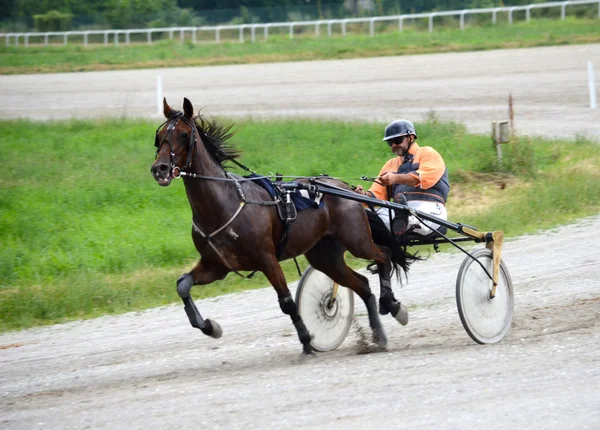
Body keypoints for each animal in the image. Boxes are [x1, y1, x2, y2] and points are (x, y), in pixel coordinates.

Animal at [150, 98, 414, 356]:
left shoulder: (266, 258)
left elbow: (287, 301)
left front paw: (307, 340)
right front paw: (210, 327)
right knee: (362, 285)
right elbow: (183, 284)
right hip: (325, 256)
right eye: (160, 134)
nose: (159, 169)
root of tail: (344, 187)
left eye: (184, 134)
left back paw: (391, 305)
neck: (224, 203)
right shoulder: (217, 264)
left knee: (384, 255)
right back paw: (378, 336)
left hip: (357, 240)